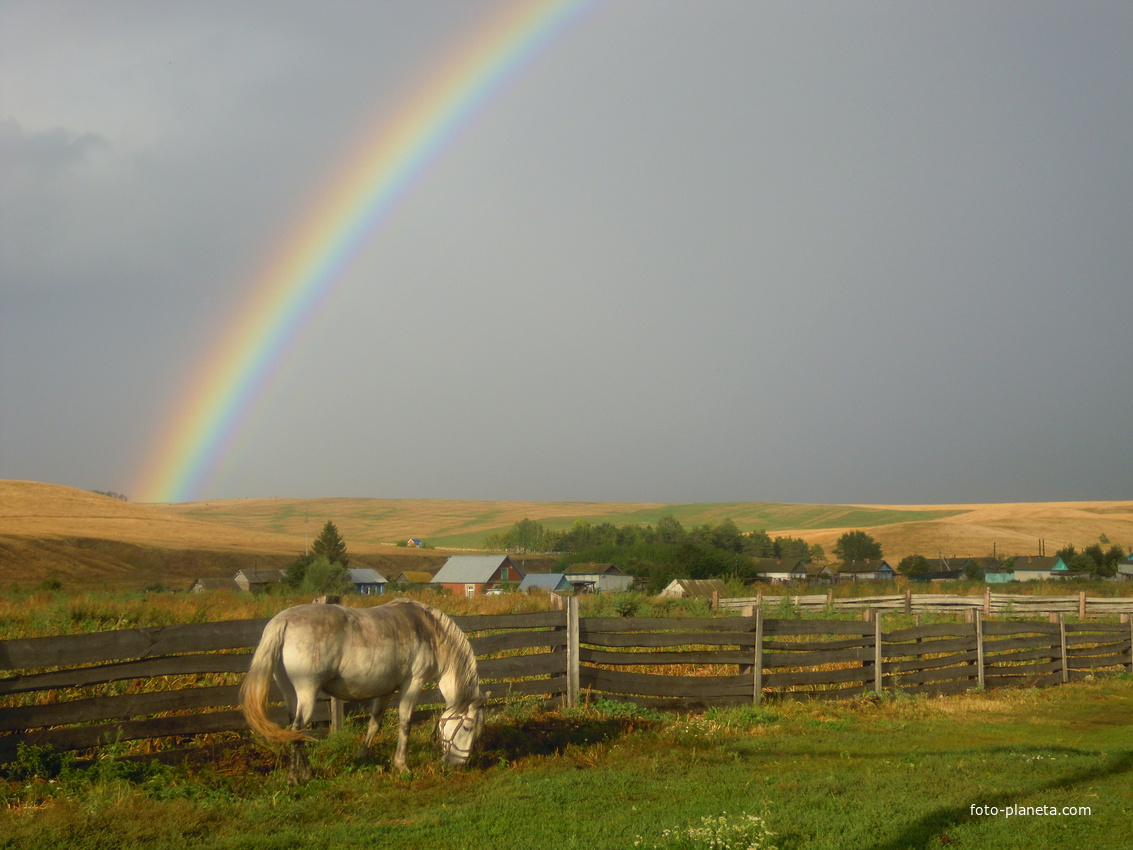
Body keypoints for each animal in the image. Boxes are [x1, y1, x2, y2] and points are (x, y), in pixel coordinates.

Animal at [241, 593, 484, 784]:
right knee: (297, 729)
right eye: (467, 727)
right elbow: (405, 723)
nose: (458, 764)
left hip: (289, 692)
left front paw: (362, 755)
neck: (429, 630)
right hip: (307, 692)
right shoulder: (413, 683)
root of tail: (283, 621)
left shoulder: (386, 690)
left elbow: (374, 723)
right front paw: (401, 765)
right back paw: (294, 779)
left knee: (295, 729)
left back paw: (307, 772)